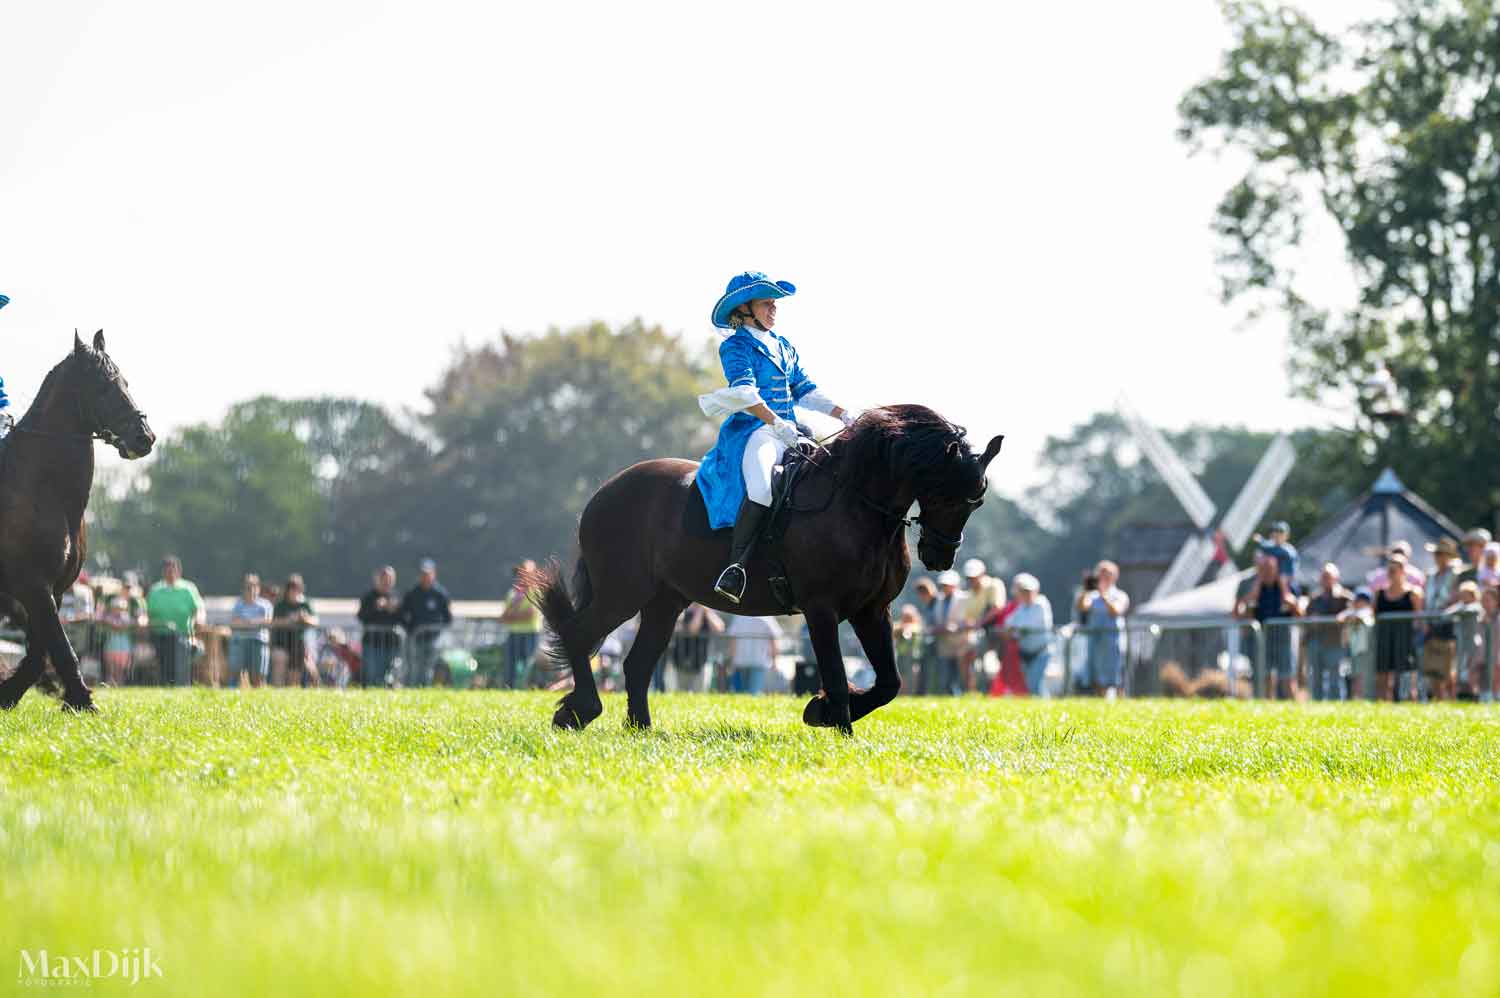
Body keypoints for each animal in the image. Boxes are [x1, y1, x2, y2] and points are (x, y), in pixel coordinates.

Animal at [0, 333, 153, 708]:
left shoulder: (50, 590)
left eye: (125, 382)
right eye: (103, 386)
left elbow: (42, 650)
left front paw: (11, 692)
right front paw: (82, 701)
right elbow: (61, 647)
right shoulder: (32, 586)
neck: (42, 488)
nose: (144, 437)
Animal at [528, 402, 1008, 735]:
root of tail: (605, 491)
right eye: (945, 494)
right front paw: (838, 725)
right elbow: (837, 675)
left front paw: (823, 712)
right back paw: (579, 711)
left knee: (637, 663)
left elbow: (891, 682)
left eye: (978, 500)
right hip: (622, 594)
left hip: (665, 603)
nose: (940, 556)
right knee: (579, 634)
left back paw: (640, 729)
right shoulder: (821, 609)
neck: (855, 505)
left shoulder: (872, 611)